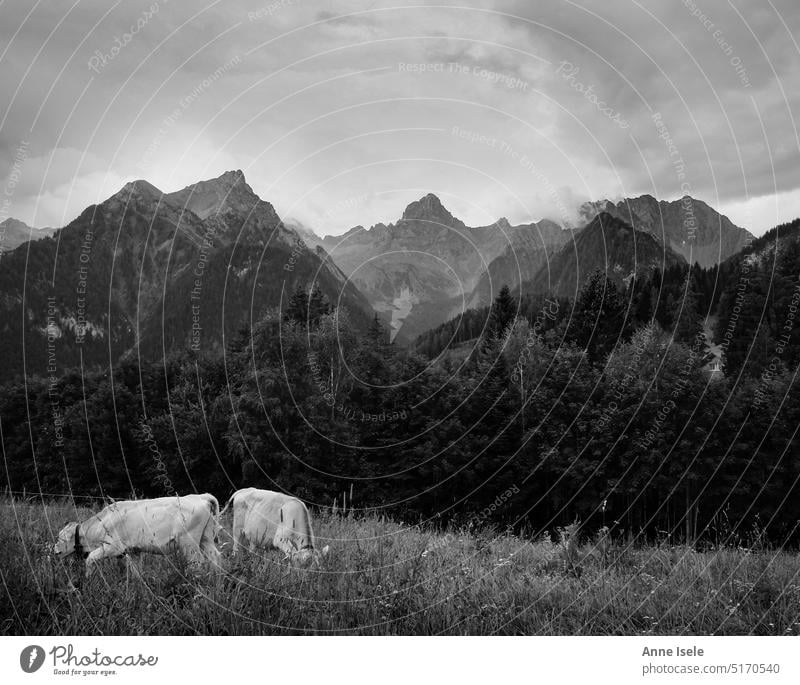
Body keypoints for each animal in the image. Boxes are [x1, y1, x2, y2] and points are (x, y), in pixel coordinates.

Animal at [52, 492, 222, 572]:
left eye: (60, 538)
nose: (54, 551)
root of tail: (200, 496)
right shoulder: (134, 551)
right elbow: (136, 572)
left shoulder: (113, 547)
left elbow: (90, 559)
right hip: (206, 538)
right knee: (214, 557)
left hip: (188, 543)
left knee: (197, 562)